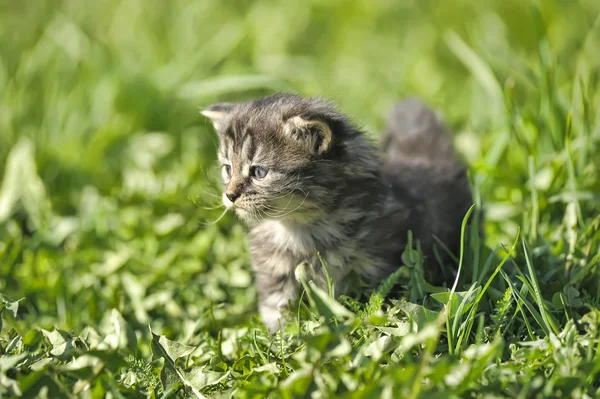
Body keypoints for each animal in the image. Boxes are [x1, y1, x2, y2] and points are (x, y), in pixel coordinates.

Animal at [202, 94, 474, 334]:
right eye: (228, 169)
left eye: (259, 172)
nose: (230, 195)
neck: (301, 228)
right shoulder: (273, 270)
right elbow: (276, 310)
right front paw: (281, 340)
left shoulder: (383, 267)